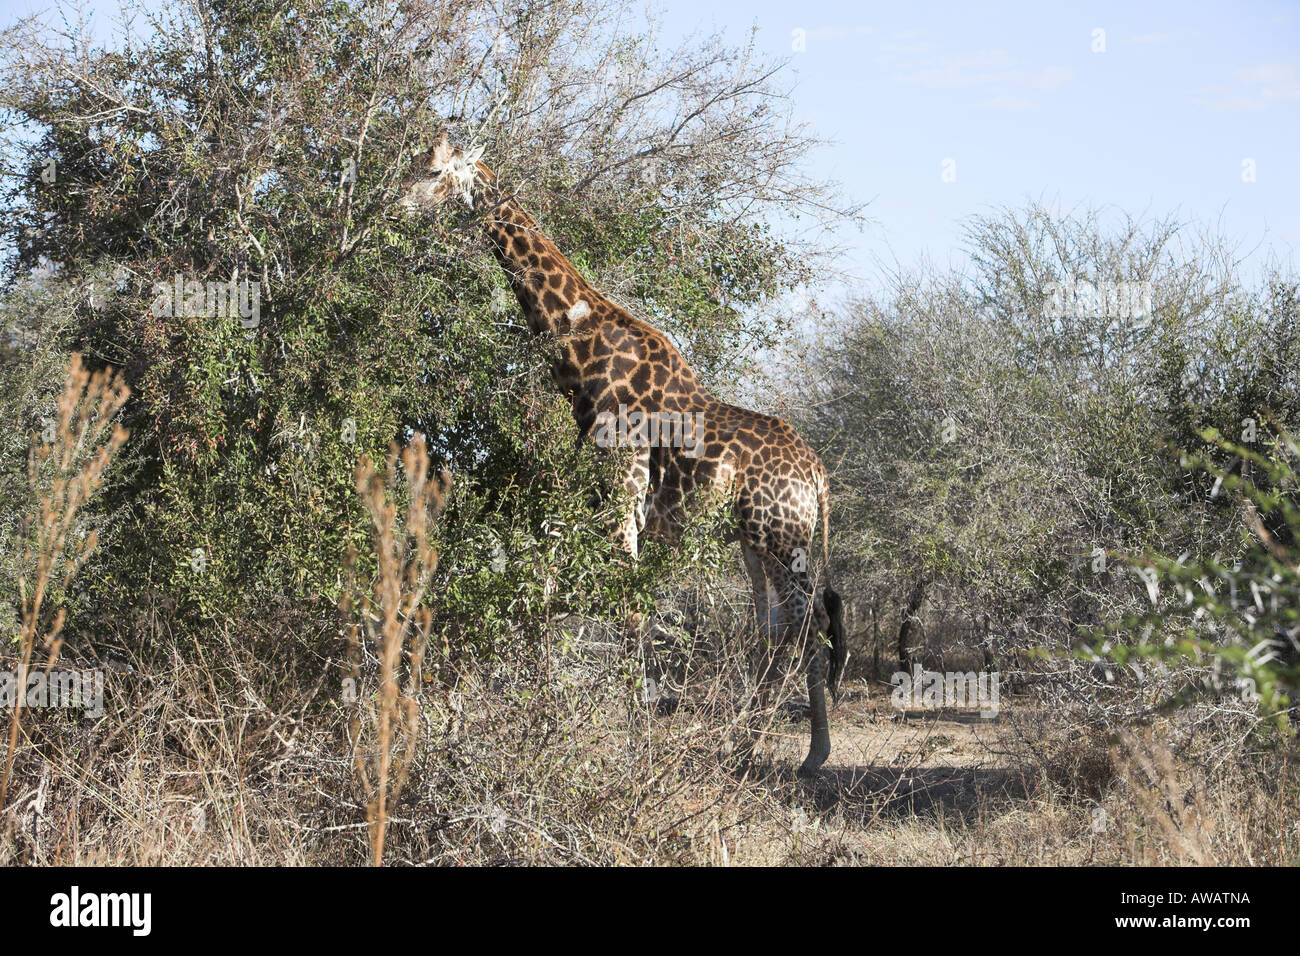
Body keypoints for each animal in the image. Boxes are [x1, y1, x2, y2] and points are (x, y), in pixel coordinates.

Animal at [398, 138, 847, 776]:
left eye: (434, 171)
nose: (395, 204)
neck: (581, 364)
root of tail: (818, 474)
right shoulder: (587, 504)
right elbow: (548, 596)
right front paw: (550, 716)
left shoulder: (622, 500)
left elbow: (629, 610)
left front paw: (634, 734)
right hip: (754, 541)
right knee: (775, 625)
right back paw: (741, 743)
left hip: (784, 536)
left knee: (808, 624)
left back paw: (809, 753)